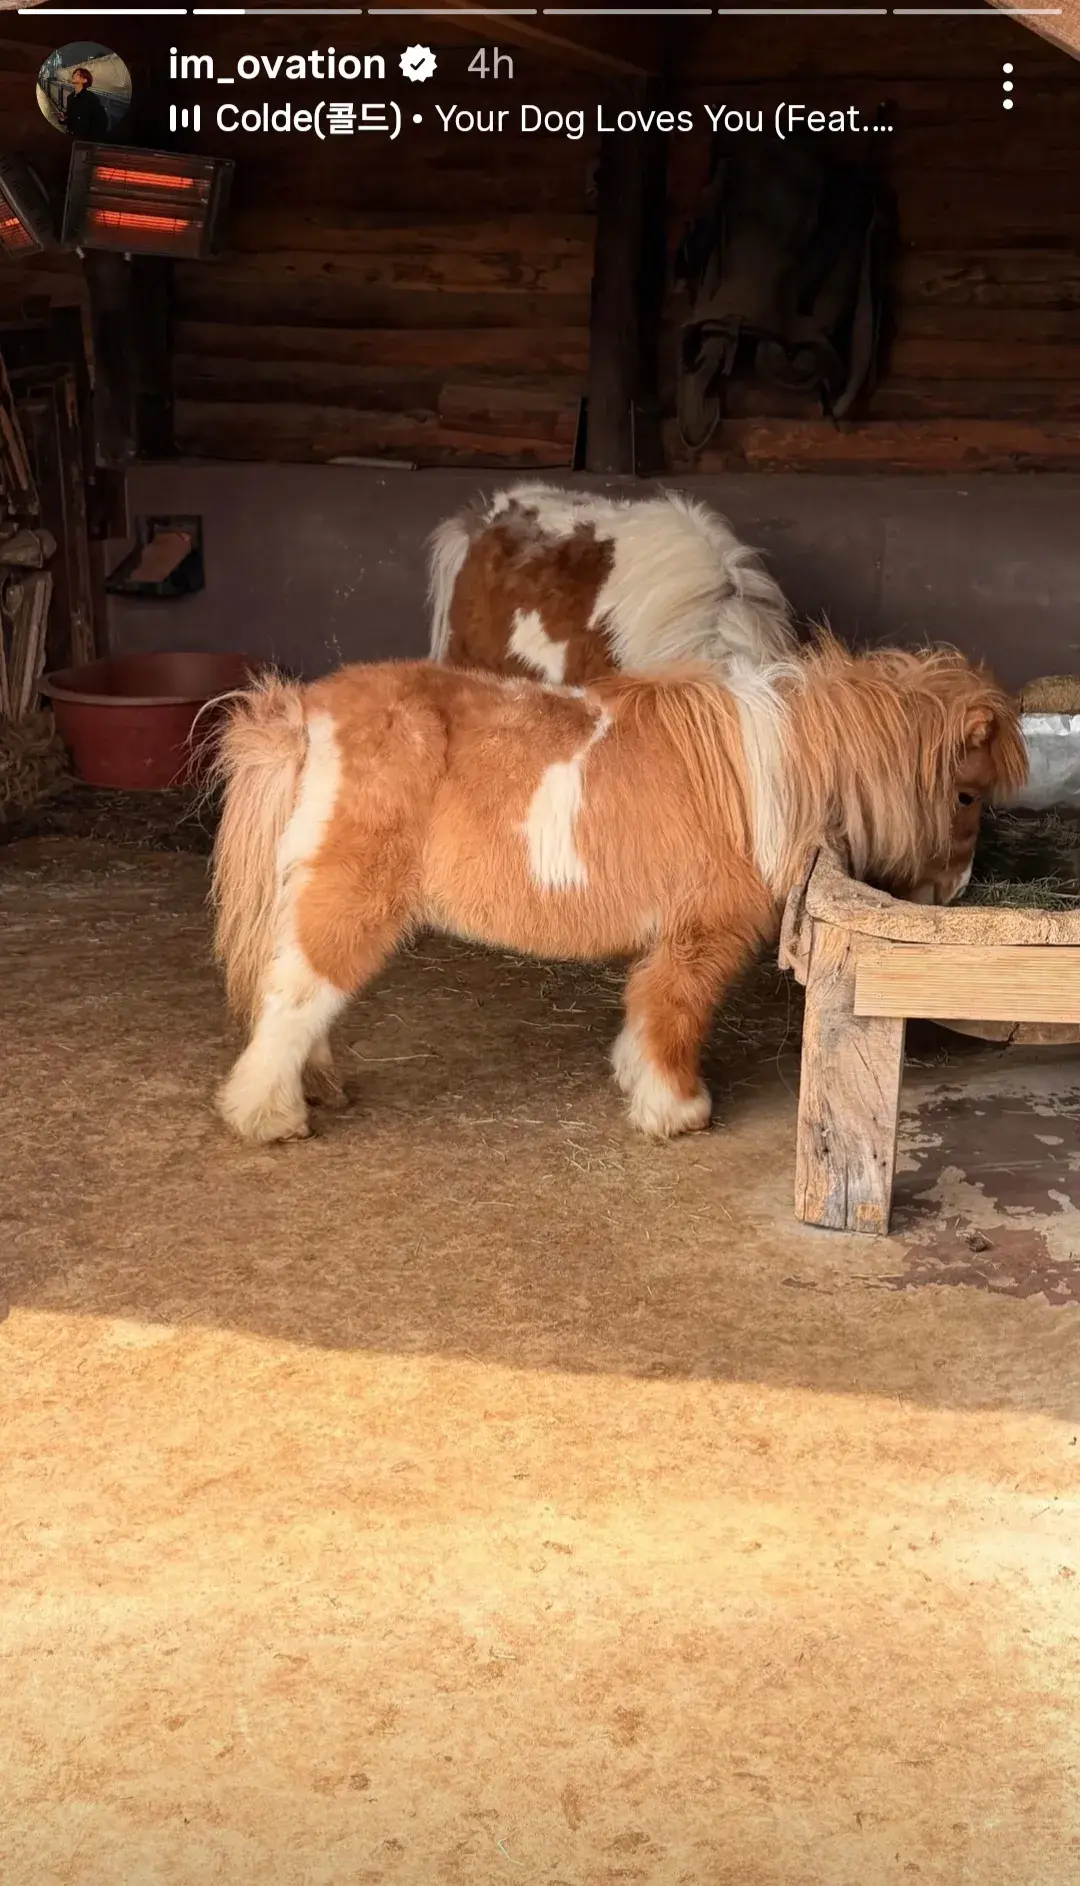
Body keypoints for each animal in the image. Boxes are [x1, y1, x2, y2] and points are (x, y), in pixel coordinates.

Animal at [209, 635, 1026, 1147]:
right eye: (966, 796)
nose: (955, 891)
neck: (759, 777)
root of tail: (305, 716)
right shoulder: (702, 936)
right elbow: (677, 1014)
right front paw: (677, 1111)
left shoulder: (670, 938)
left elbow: (648, 1012)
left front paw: (643, 1086)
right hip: (348, 904)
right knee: (293, 999)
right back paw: (268, 1118)